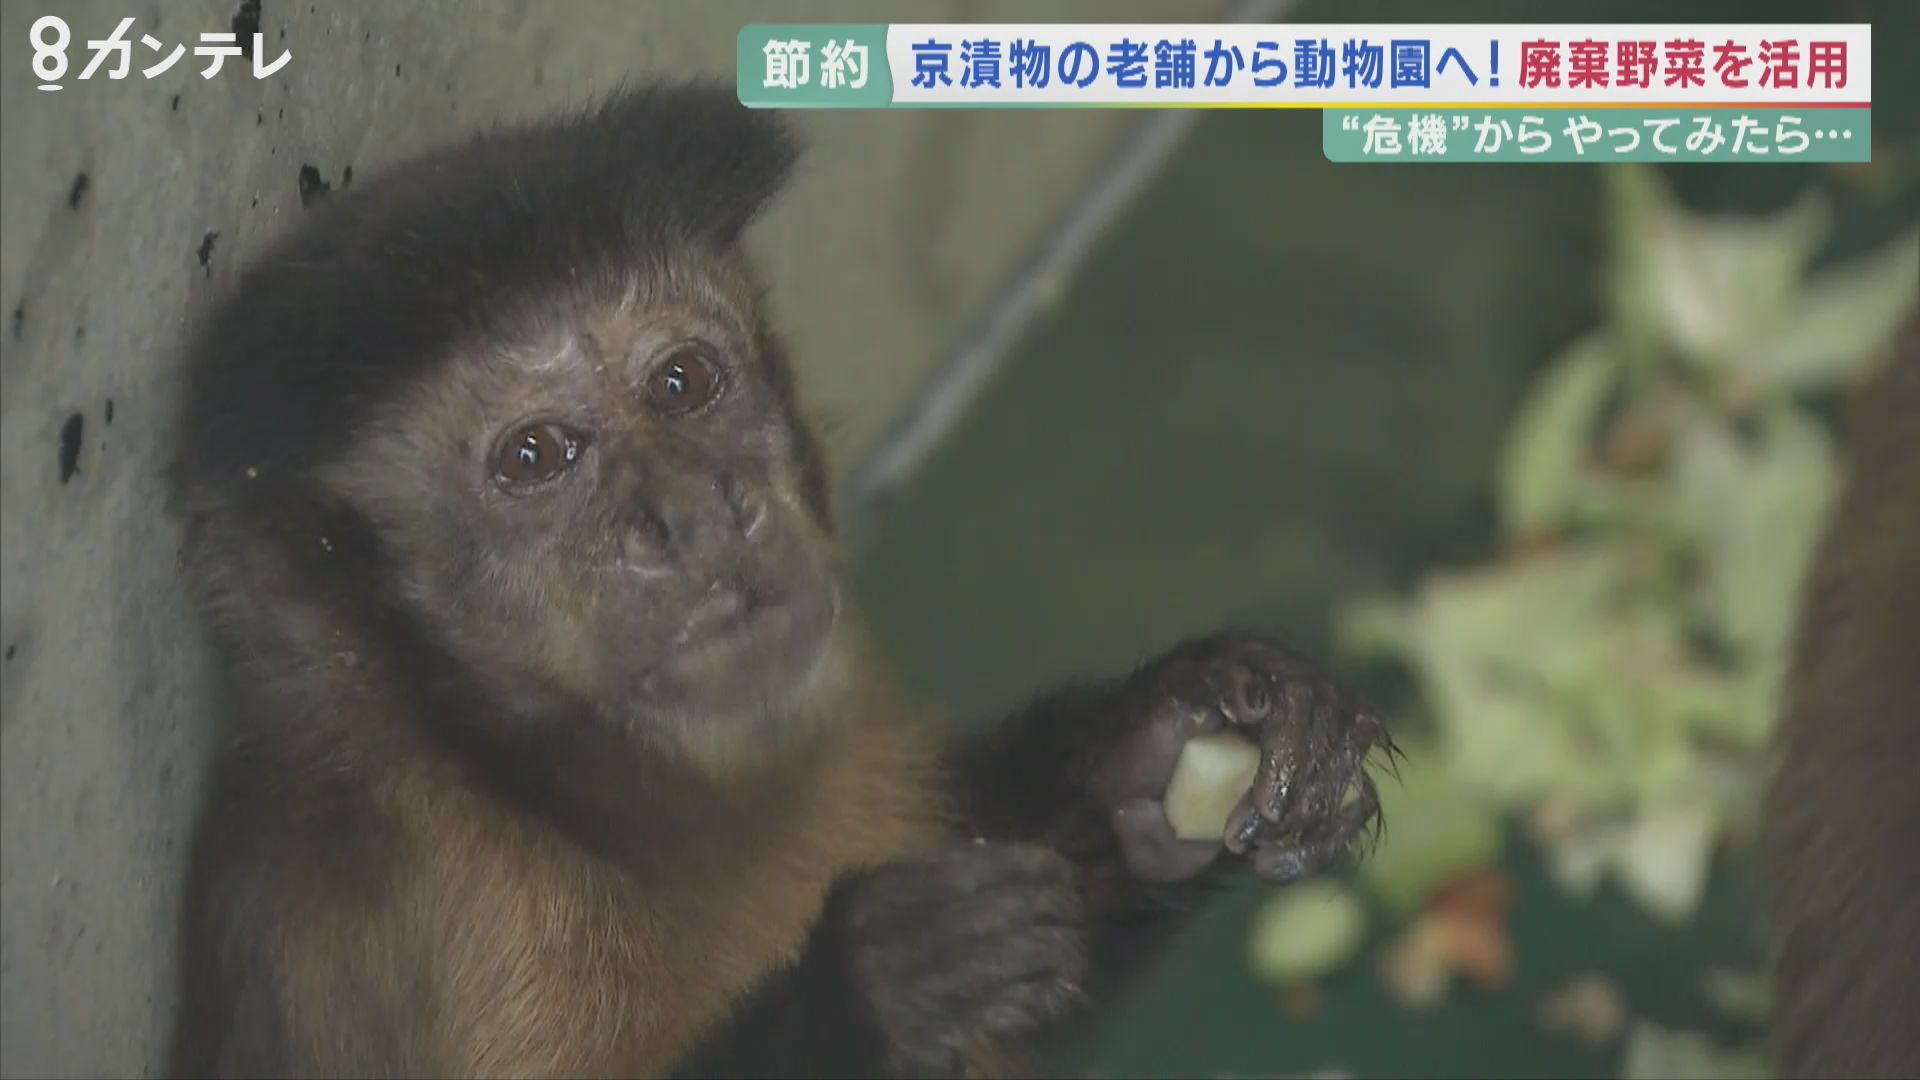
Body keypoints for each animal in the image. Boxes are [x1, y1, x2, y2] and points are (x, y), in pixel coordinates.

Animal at [165, 82, 1397, 1076]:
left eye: (682, 382)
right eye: (535, 458)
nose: (694, 512)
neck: (562, 793)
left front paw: (1168, 745)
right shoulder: (434, 915)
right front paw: (870, 991)